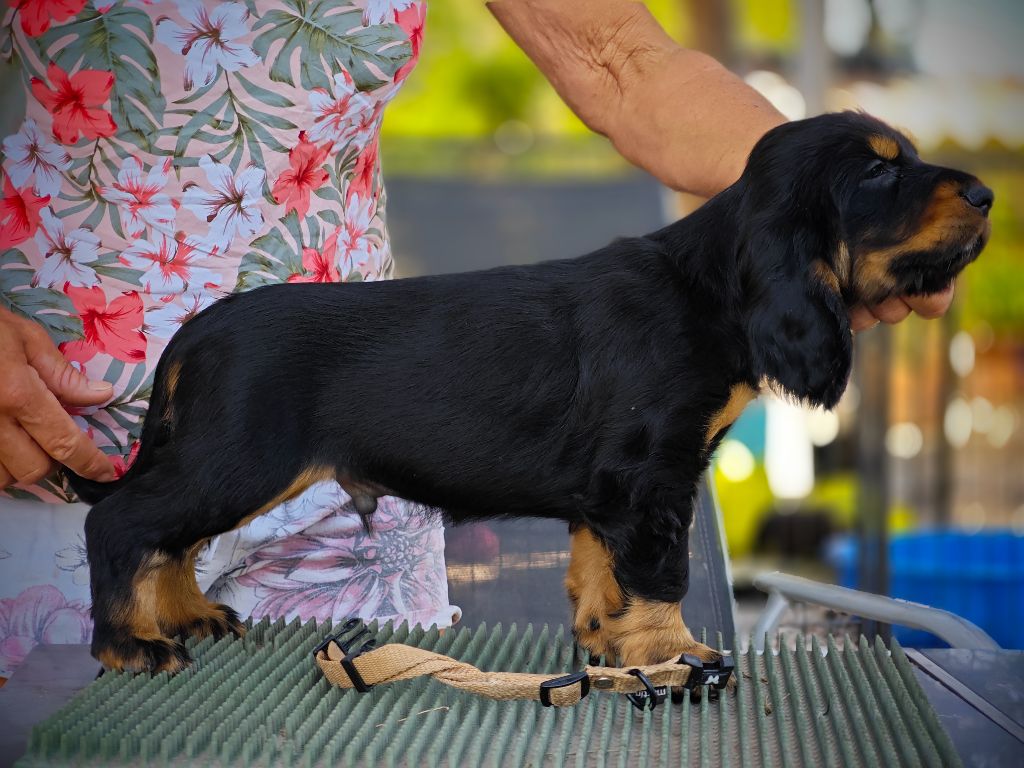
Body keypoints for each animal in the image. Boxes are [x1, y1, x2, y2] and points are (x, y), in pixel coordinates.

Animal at [66, 112, 991, 671]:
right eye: (879, 176)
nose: (987, 193)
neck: (707, 286)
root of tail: (194, 333)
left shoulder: (613, 489)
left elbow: (598, 569)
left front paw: (605, 645)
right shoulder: (653, 476)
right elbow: (660, 575)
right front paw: (673, 656)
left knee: (172, 540)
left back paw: (186, 616)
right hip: (238, 460)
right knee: (123, 524)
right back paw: (130, 642)